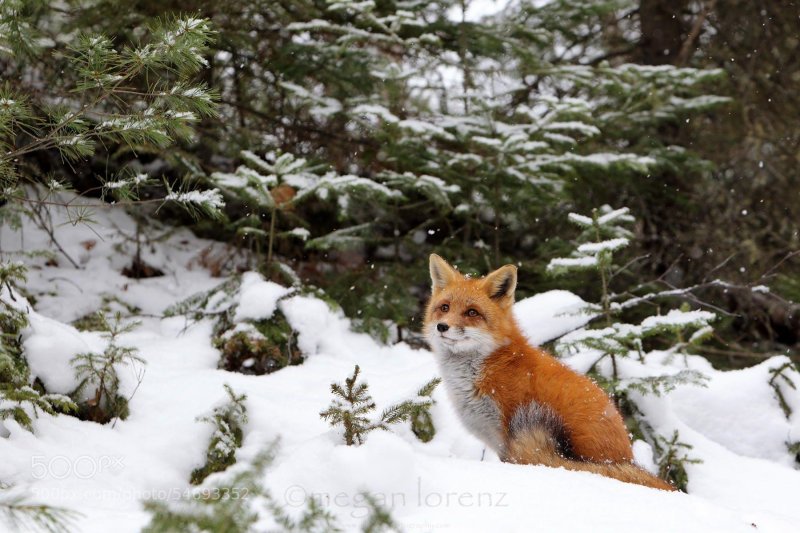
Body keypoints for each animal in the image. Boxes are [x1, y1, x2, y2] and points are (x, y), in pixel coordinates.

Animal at [424, 254, 676, 490]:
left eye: (472, 312)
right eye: (444, 307)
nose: (442, 327)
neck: (491, 364)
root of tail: (628, 457)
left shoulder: (508, 434)